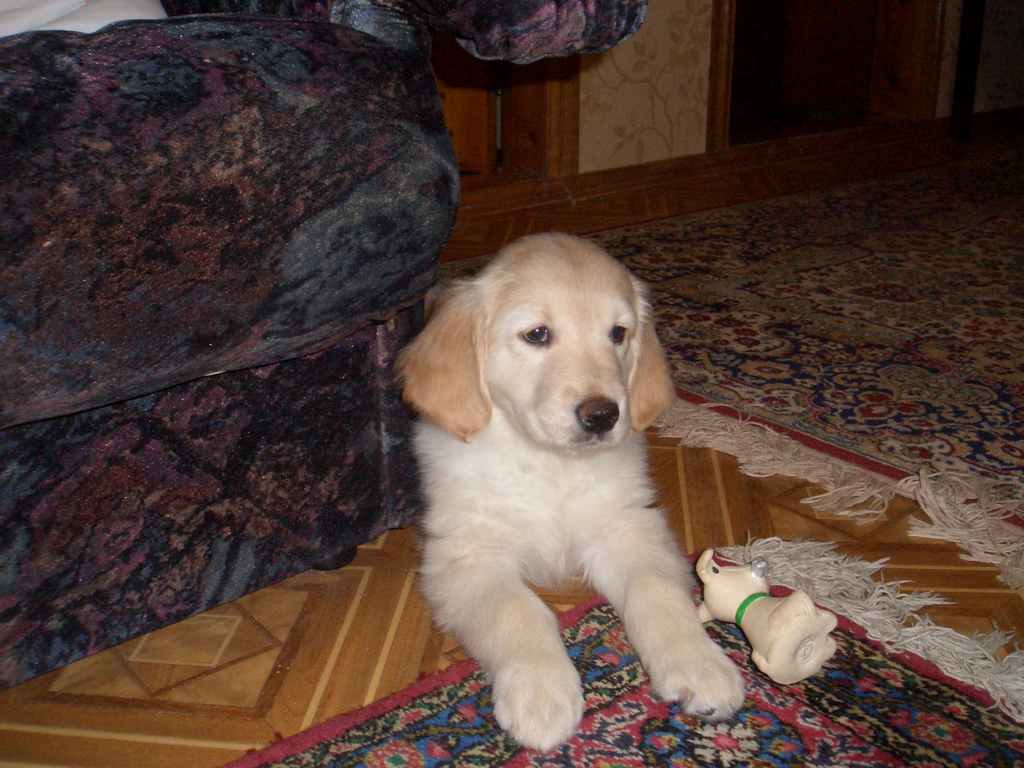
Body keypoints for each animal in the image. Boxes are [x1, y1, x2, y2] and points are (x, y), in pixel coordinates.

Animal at [397, 233, 744, 751]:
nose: (602, 415)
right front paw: (541, 692)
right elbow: (519, 610)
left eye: (618, 333)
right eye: (537, 334)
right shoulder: (466, 555)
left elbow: (656, 589)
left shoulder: (629, 525)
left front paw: (700, 664)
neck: (550, 464)